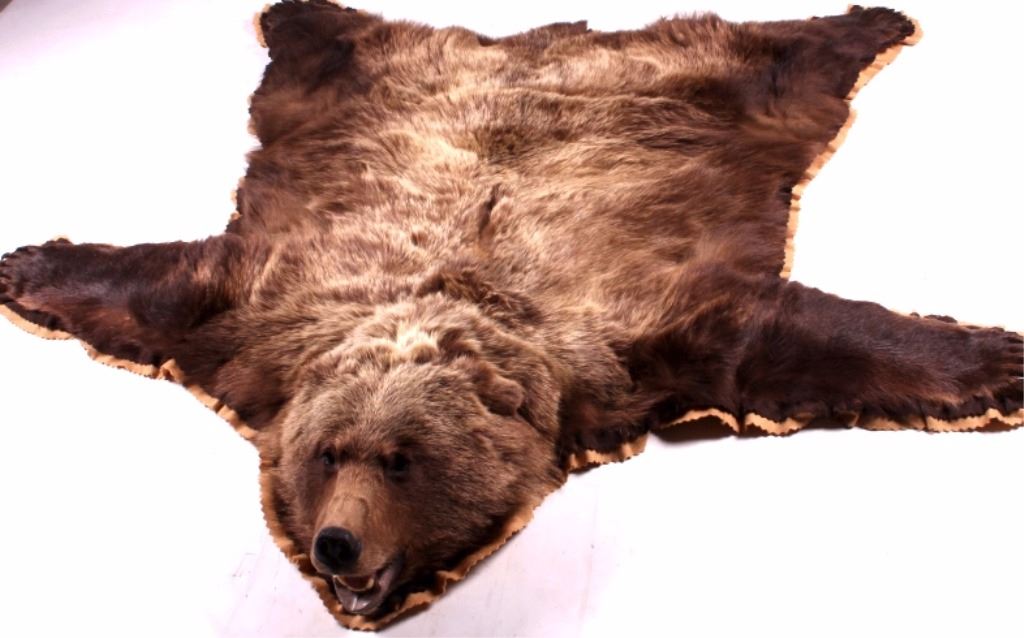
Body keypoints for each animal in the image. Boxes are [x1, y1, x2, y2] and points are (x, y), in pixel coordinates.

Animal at [0, 1, 1020, 629]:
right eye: (327, 454)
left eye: (401, 460)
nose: (337, 543)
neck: (453, 306)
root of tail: (546, 38)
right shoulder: (257, 314)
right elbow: (163, 287)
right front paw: (25, 263)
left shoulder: (644, 334)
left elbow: (780, 339)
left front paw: (996, 359)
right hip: (357, 79)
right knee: (330, 38)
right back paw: (295, 9)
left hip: (716, 81)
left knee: (784, 49)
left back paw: (878, 19)